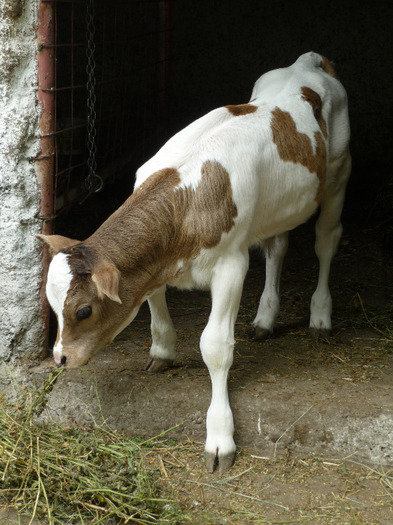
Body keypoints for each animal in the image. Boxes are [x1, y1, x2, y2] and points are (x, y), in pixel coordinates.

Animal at [36, 52, 350, 470]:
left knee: (325, 242)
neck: (185, 195)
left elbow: (214, 346)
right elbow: (153, 304)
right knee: (277, 247)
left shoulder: (231, 265)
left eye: (84, 311)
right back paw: (266, 318)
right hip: (278, 204)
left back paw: (319, 315)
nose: (59, 358)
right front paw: (162, 353)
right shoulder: (152, 265)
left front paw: (219, 437)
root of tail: (308, 62)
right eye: (52, 305)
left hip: (337, 176)